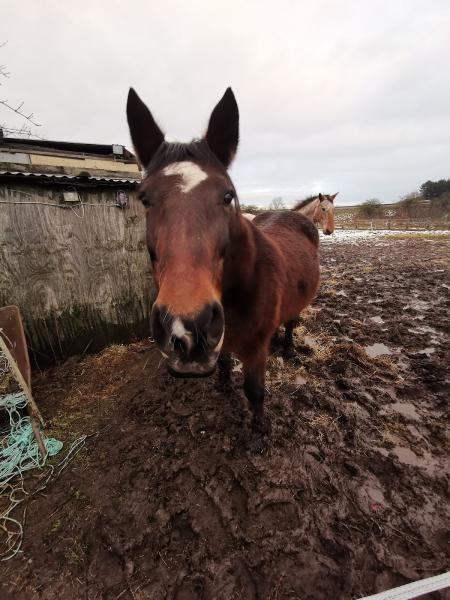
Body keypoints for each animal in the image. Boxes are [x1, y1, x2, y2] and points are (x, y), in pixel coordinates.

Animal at [126, 88, 320, 432]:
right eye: (145, 198)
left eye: (228, 195)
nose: (186, 330)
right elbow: (225, 363)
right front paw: (225, 385)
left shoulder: (256, 351)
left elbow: (255, 392)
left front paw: (259, 432)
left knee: (291, 323)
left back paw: (288, 349)